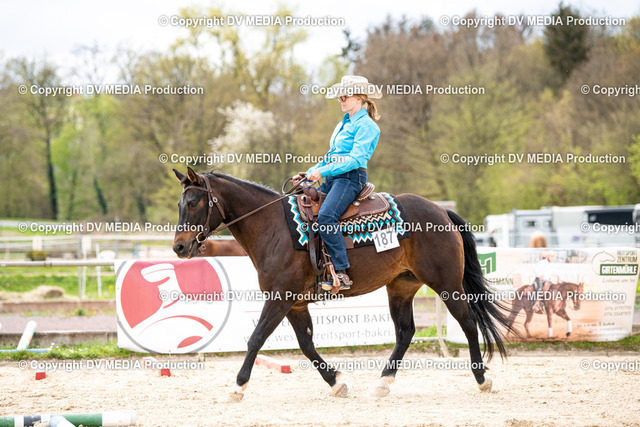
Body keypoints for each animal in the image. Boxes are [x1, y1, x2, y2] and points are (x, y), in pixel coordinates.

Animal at [172, 167, 514, 400]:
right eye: (180, 204)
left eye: (194, 203)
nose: (179, 246)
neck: (272, 227)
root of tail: (441, 211)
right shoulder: (295, 304)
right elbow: (307, 345)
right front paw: (336, 382)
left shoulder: (280, 298)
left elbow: (256, 339)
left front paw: (237, 386)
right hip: (401, 287)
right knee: (405, 332)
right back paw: (382, 383)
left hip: (446, 283)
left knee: (468, 323)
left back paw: (482, 379)